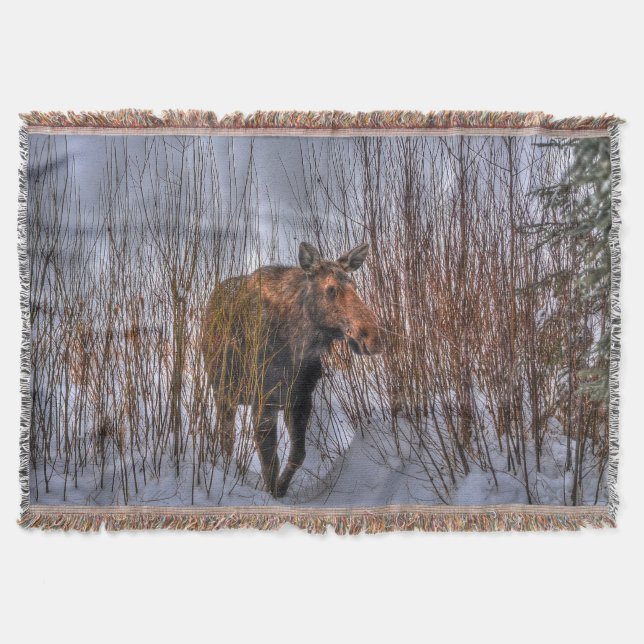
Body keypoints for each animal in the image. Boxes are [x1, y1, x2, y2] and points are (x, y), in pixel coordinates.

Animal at [201, 241, 383, 498]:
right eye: (331, 289)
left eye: (354, 286)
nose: (372, 336)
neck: (297, 348)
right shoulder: (264, 400)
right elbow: (270, 461)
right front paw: (271, 494)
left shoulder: (300, 399)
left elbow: (297, 455)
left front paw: (280, 489)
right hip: (224, 392)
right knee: (226, 437)